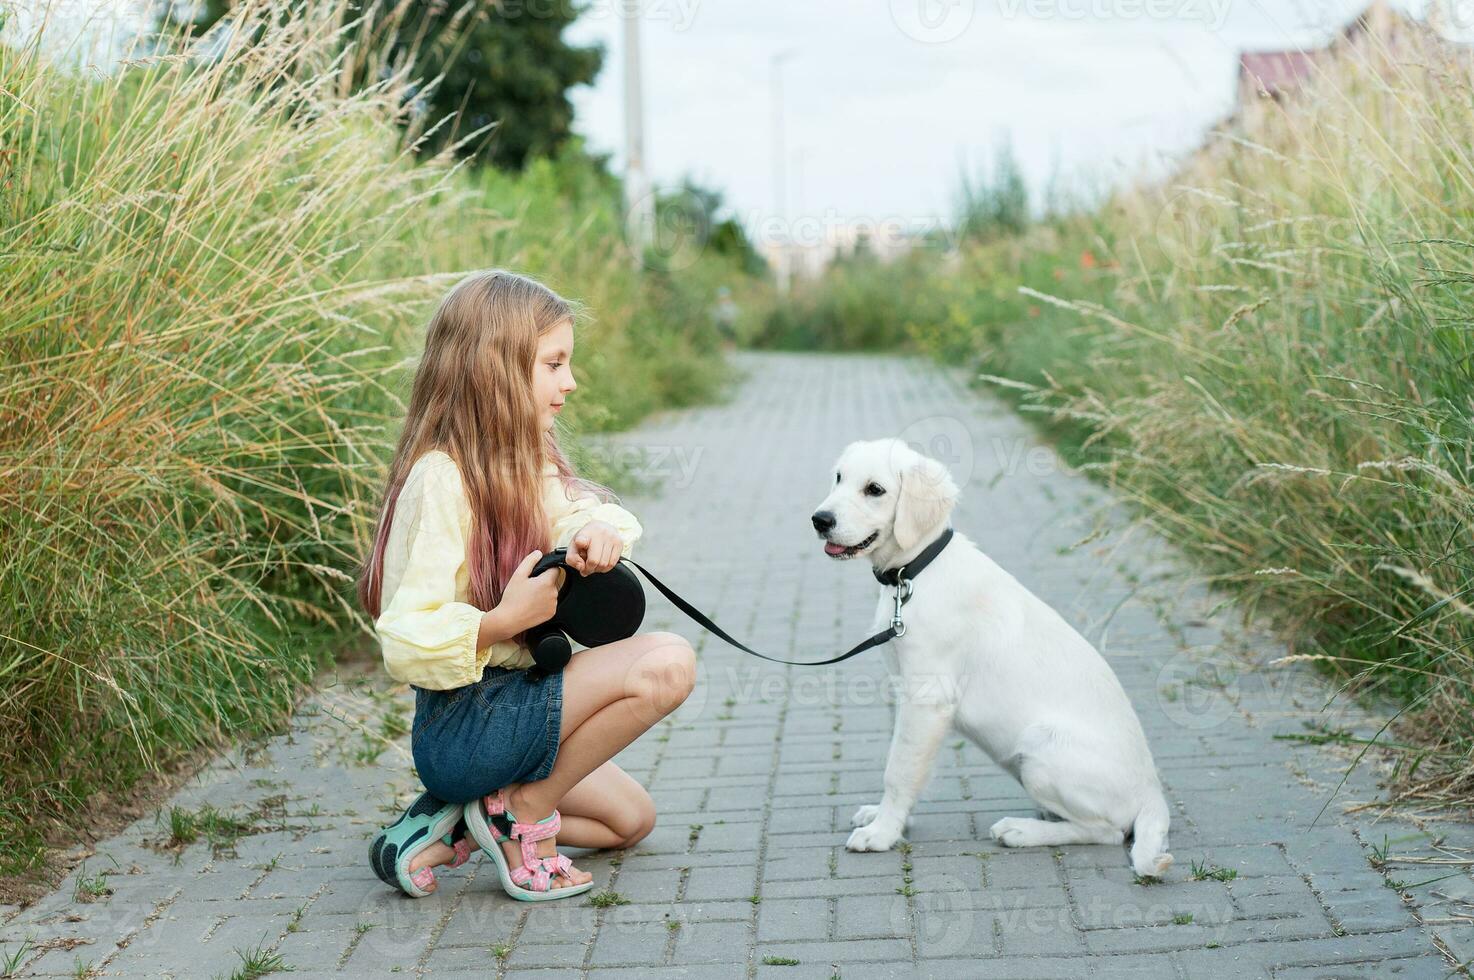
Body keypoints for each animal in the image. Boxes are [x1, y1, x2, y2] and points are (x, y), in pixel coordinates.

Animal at [813, 439, 1167, 872]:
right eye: (839, 477)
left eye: (874, 489)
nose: (819, 520)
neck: (915, 572)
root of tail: (1152, 791)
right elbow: (908, 765)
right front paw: (887, 819)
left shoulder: (928, 700)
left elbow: (898, 770)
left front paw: (881, 833)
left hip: (1040, 746)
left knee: (1108, 832)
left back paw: (1021, 831)